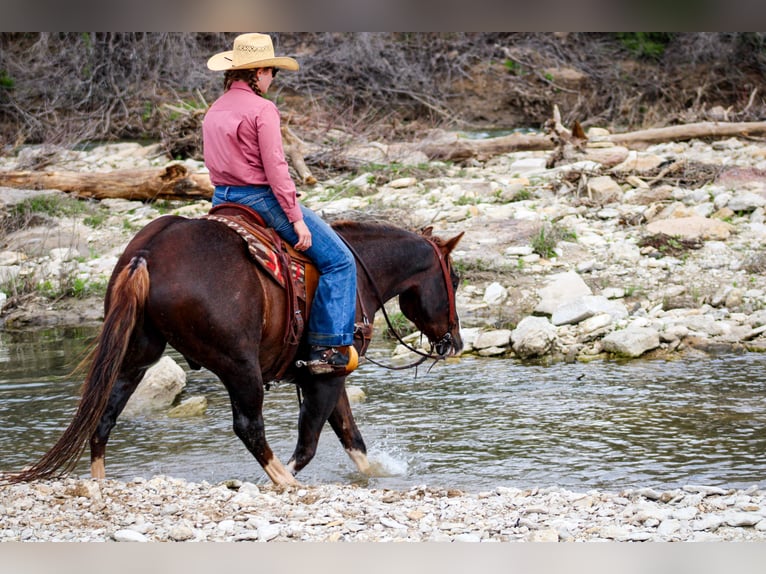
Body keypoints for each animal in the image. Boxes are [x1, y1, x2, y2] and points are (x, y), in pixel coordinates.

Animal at [6, 214, 464, 488]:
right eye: (456, 279)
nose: (454, 343)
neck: (359, 273)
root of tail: (148, 253)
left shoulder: (323, 377)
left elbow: (354, 442)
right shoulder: (327, 375)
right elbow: (310, 444)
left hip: (135, 356)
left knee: (104, 416)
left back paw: (100, 483)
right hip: (238, 366)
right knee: (249, 427)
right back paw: (285, 484)